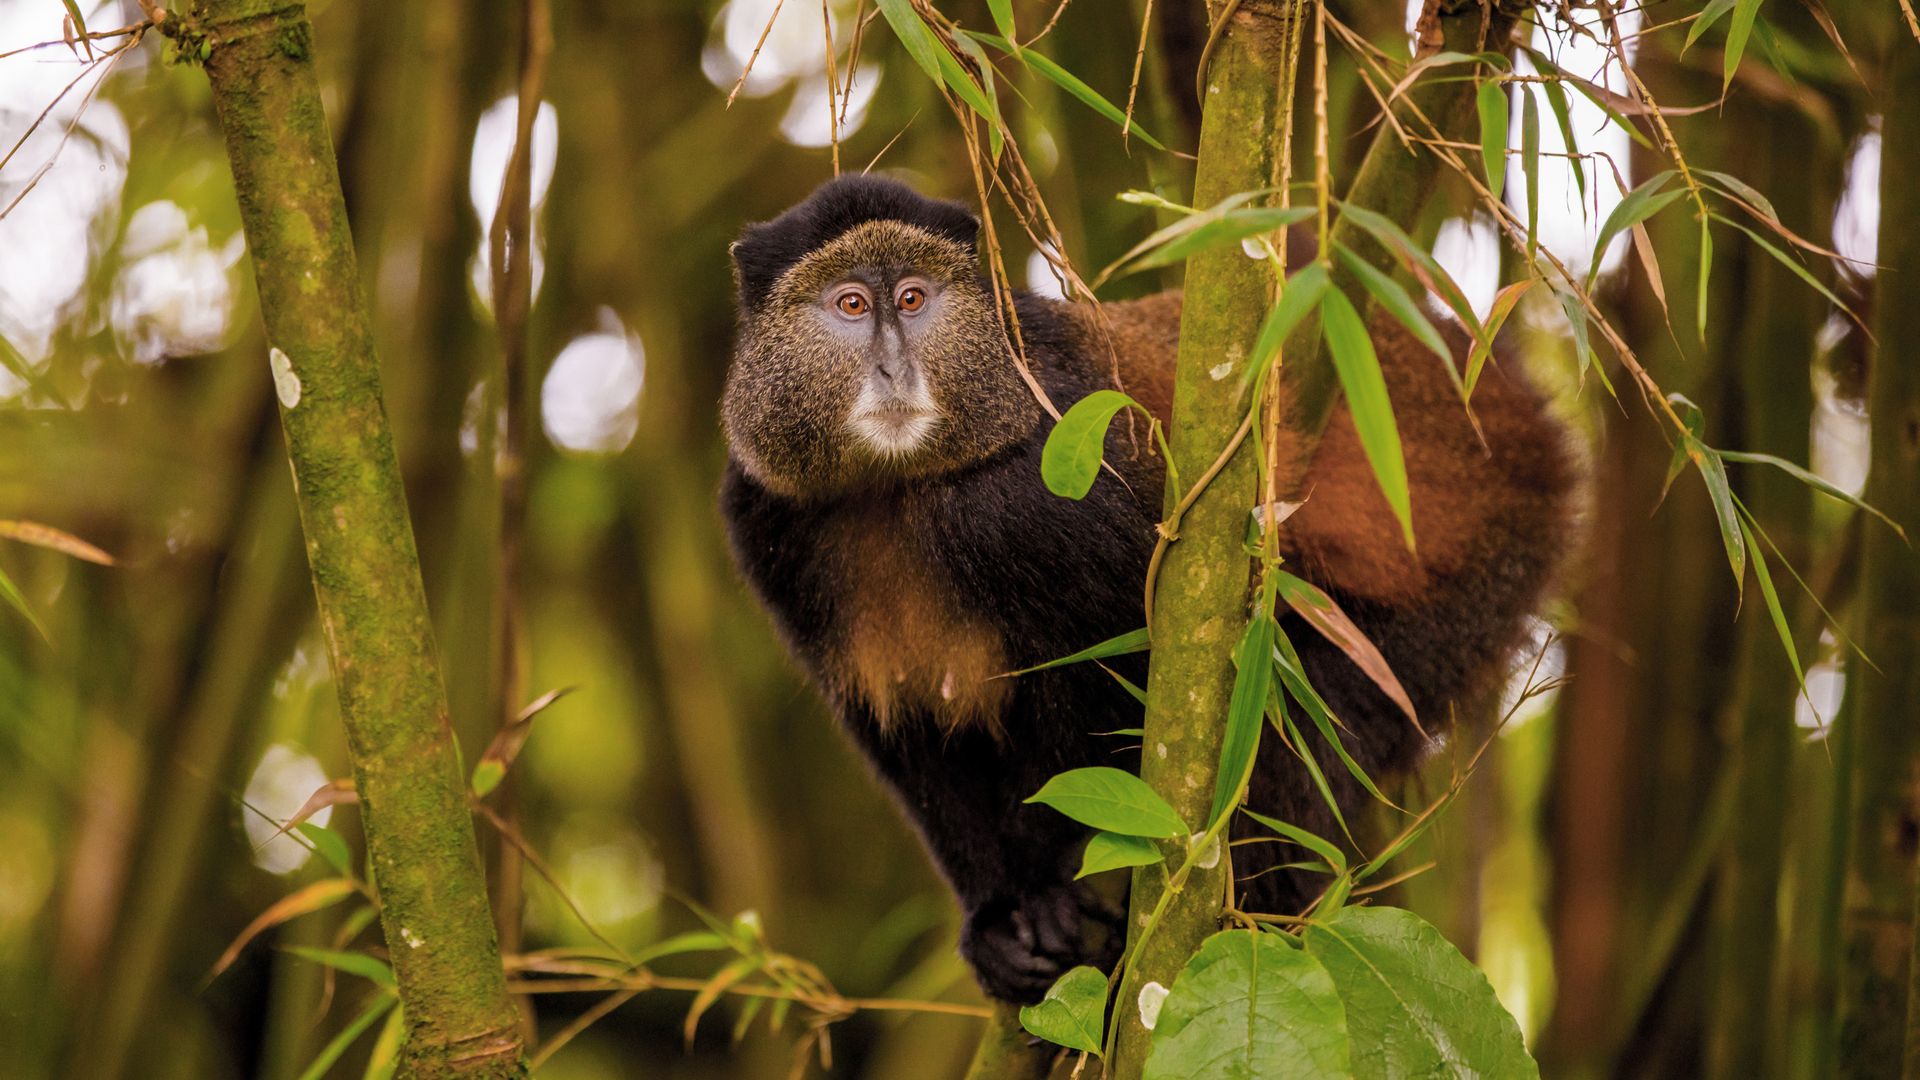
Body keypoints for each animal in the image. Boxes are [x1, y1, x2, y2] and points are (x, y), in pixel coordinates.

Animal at [719, 174, 1576, 1004]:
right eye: (850, 305)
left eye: (912, 299)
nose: (894, 368)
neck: (900, 487)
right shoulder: (766, 524)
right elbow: (912, 739)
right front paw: (998, 917)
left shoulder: (1037, 491)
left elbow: (1144, 674)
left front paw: (1061, 888)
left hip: (1464, 590)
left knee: (1302, 730)